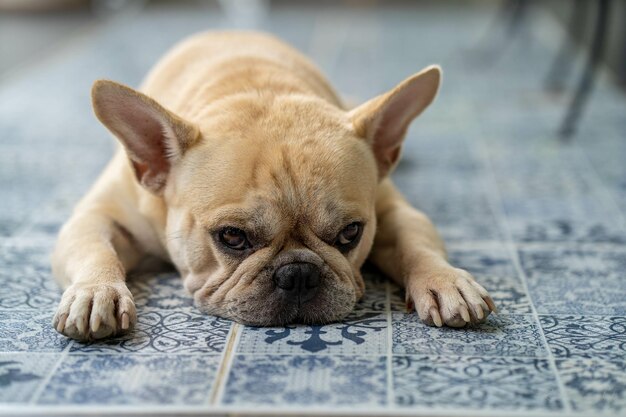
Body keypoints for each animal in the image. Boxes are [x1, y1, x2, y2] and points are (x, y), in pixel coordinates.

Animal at [51, 30, 494, 340]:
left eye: (351, 233)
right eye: (231, 237)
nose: (298, 274)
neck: (255, 88)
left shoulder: (392, 209)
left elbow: (414, 241)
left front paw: (445, 280)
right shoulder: (95, 216)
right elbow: (95, 250)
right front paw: (96, 293)